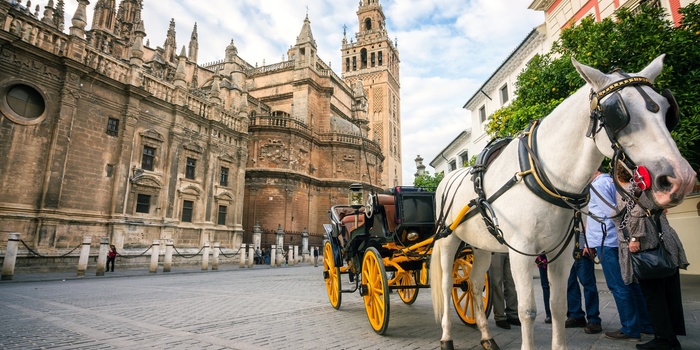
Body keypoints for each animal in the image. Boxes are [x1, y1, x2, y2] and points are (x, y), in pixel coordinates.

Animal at [430, 55, 696, 350]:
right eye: (618, 113)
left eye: (666, 109)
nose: (681, 179)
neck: (541, 175)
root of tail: (447, 179)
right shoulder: (520, 251)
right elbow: (527, 310)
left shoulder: (563, 251)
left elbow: (558, 306)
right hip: (448, 240)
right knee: (447, 285)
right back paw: (446, 337)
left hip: (481, 245)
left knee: (475, 284)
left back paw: (487, 337)